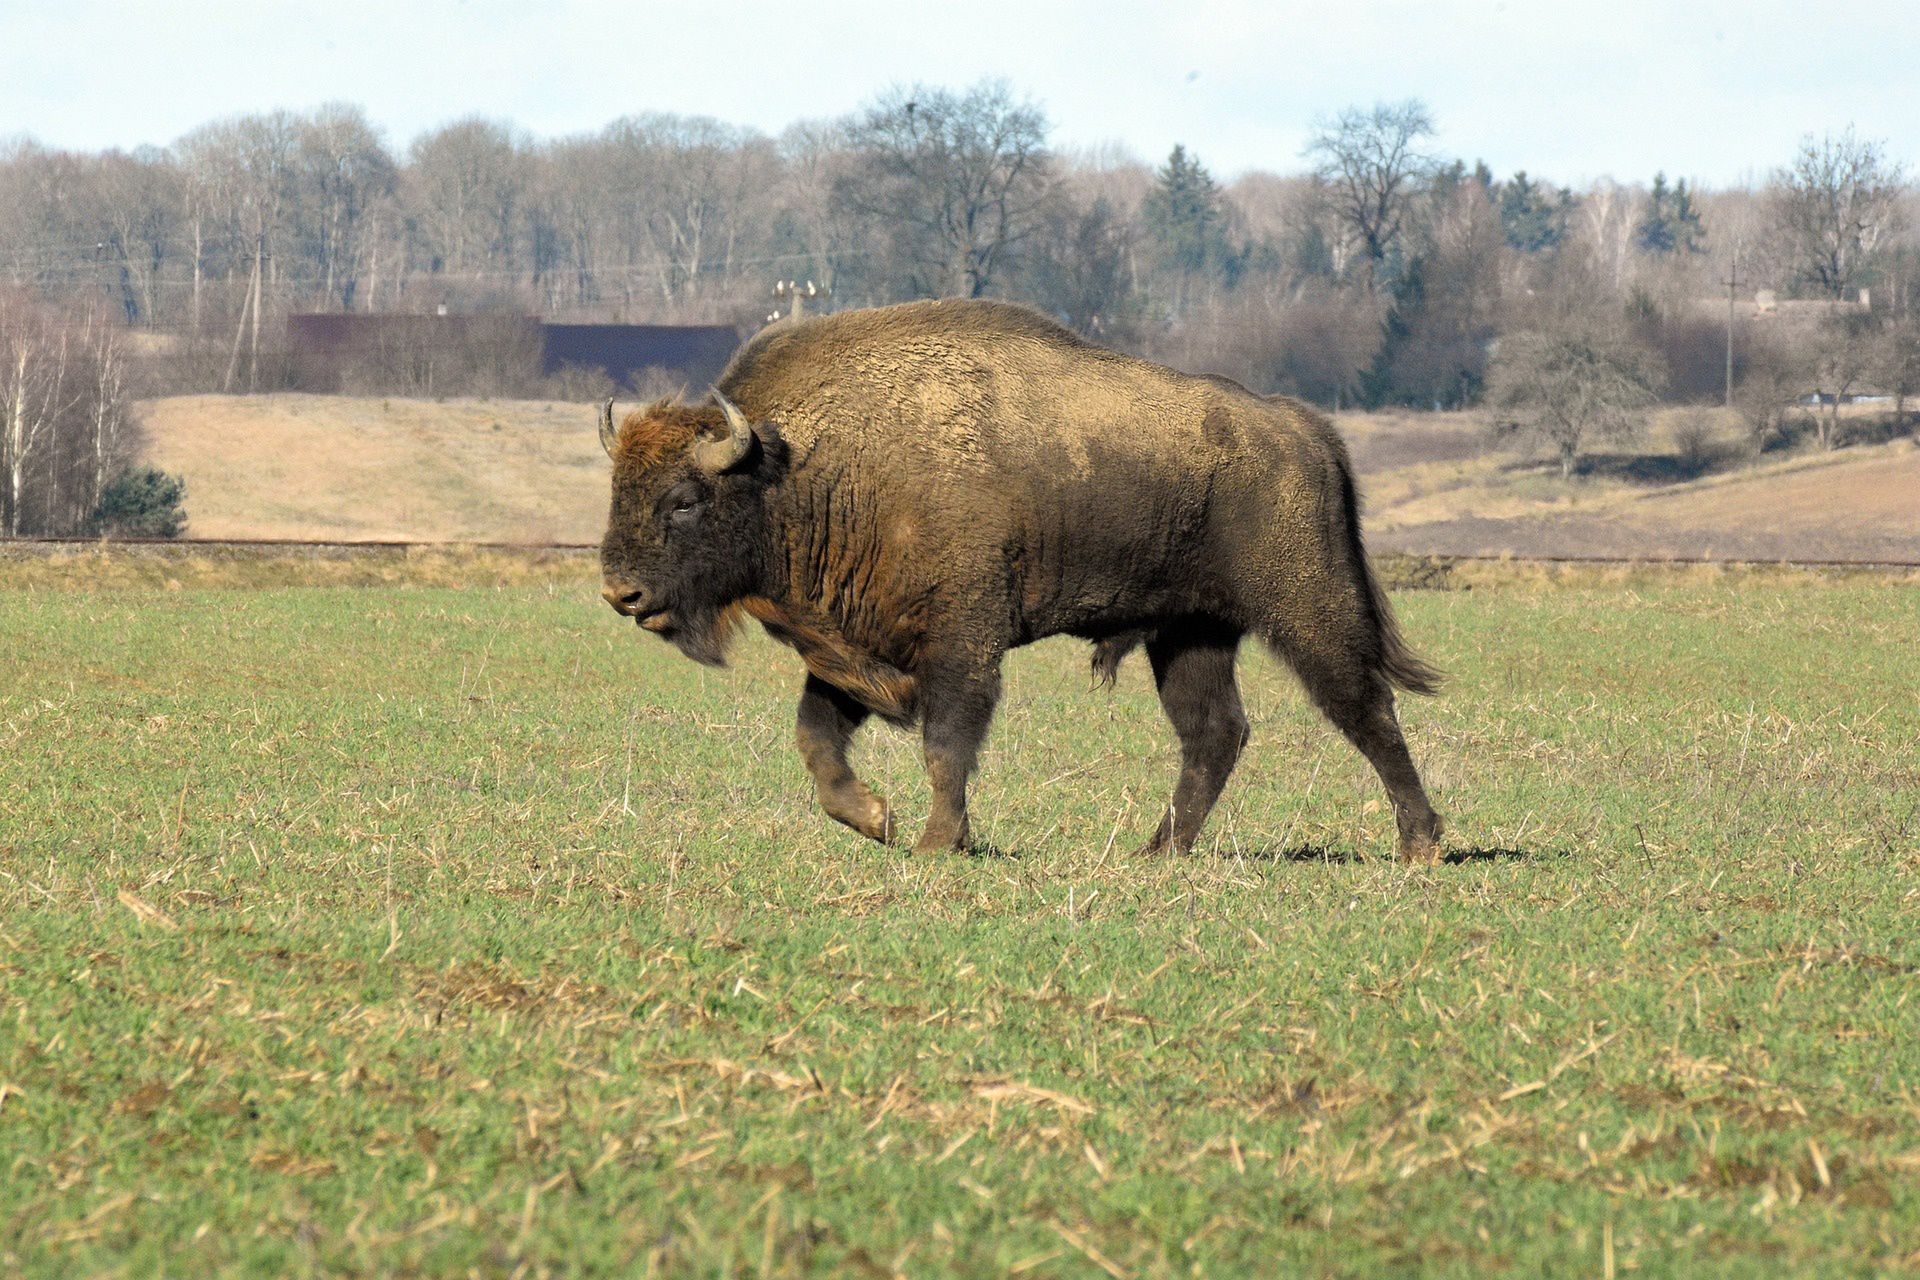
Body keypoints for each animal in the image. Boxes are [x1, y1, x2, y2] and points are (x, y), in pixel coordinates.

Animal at [599, 301, 1443, 859]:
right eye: (618, 488)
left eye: (682, 499)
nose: (620, 593)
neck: (798, 468)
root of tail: (1302, 426)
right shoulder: (852, 648)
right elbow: (817, 740)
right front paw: (877, 820)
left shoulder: (959, 645)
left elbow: (946, 745)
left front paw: (937, 843)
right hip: (1190, 633)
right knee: (1215, 732)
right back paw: (1157, 852)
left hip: (1307, 608)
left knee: (1365, 709)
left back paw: (1420, 844)